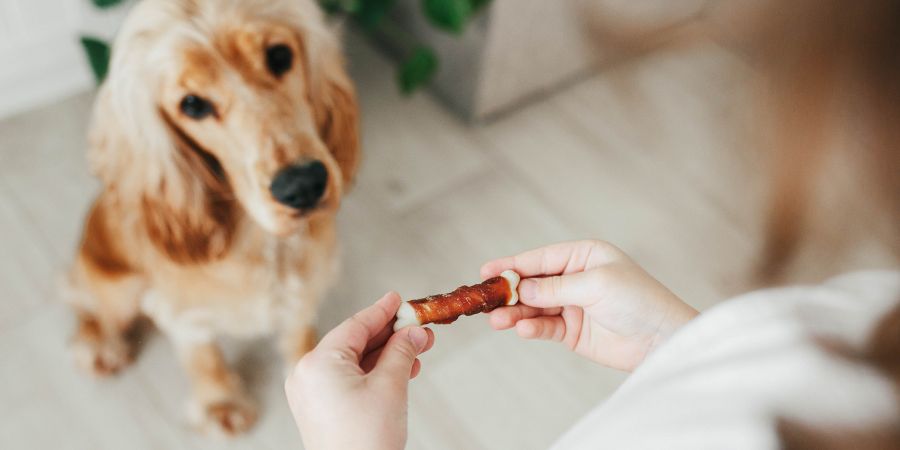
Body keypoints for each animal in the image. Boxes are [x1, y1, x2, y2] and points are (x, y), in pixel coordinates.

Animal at [61, 0, 358, 436]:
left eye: (280, 56)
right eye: (192, 105)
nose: (303, 186)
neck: (260, 239)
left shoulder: (305, 286)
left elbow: (299, 332)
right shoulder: (184, 313)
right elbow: (203, 359)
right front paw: (221, 404)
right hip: (116, 284)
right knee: (84, 302)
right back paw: (99, 345)